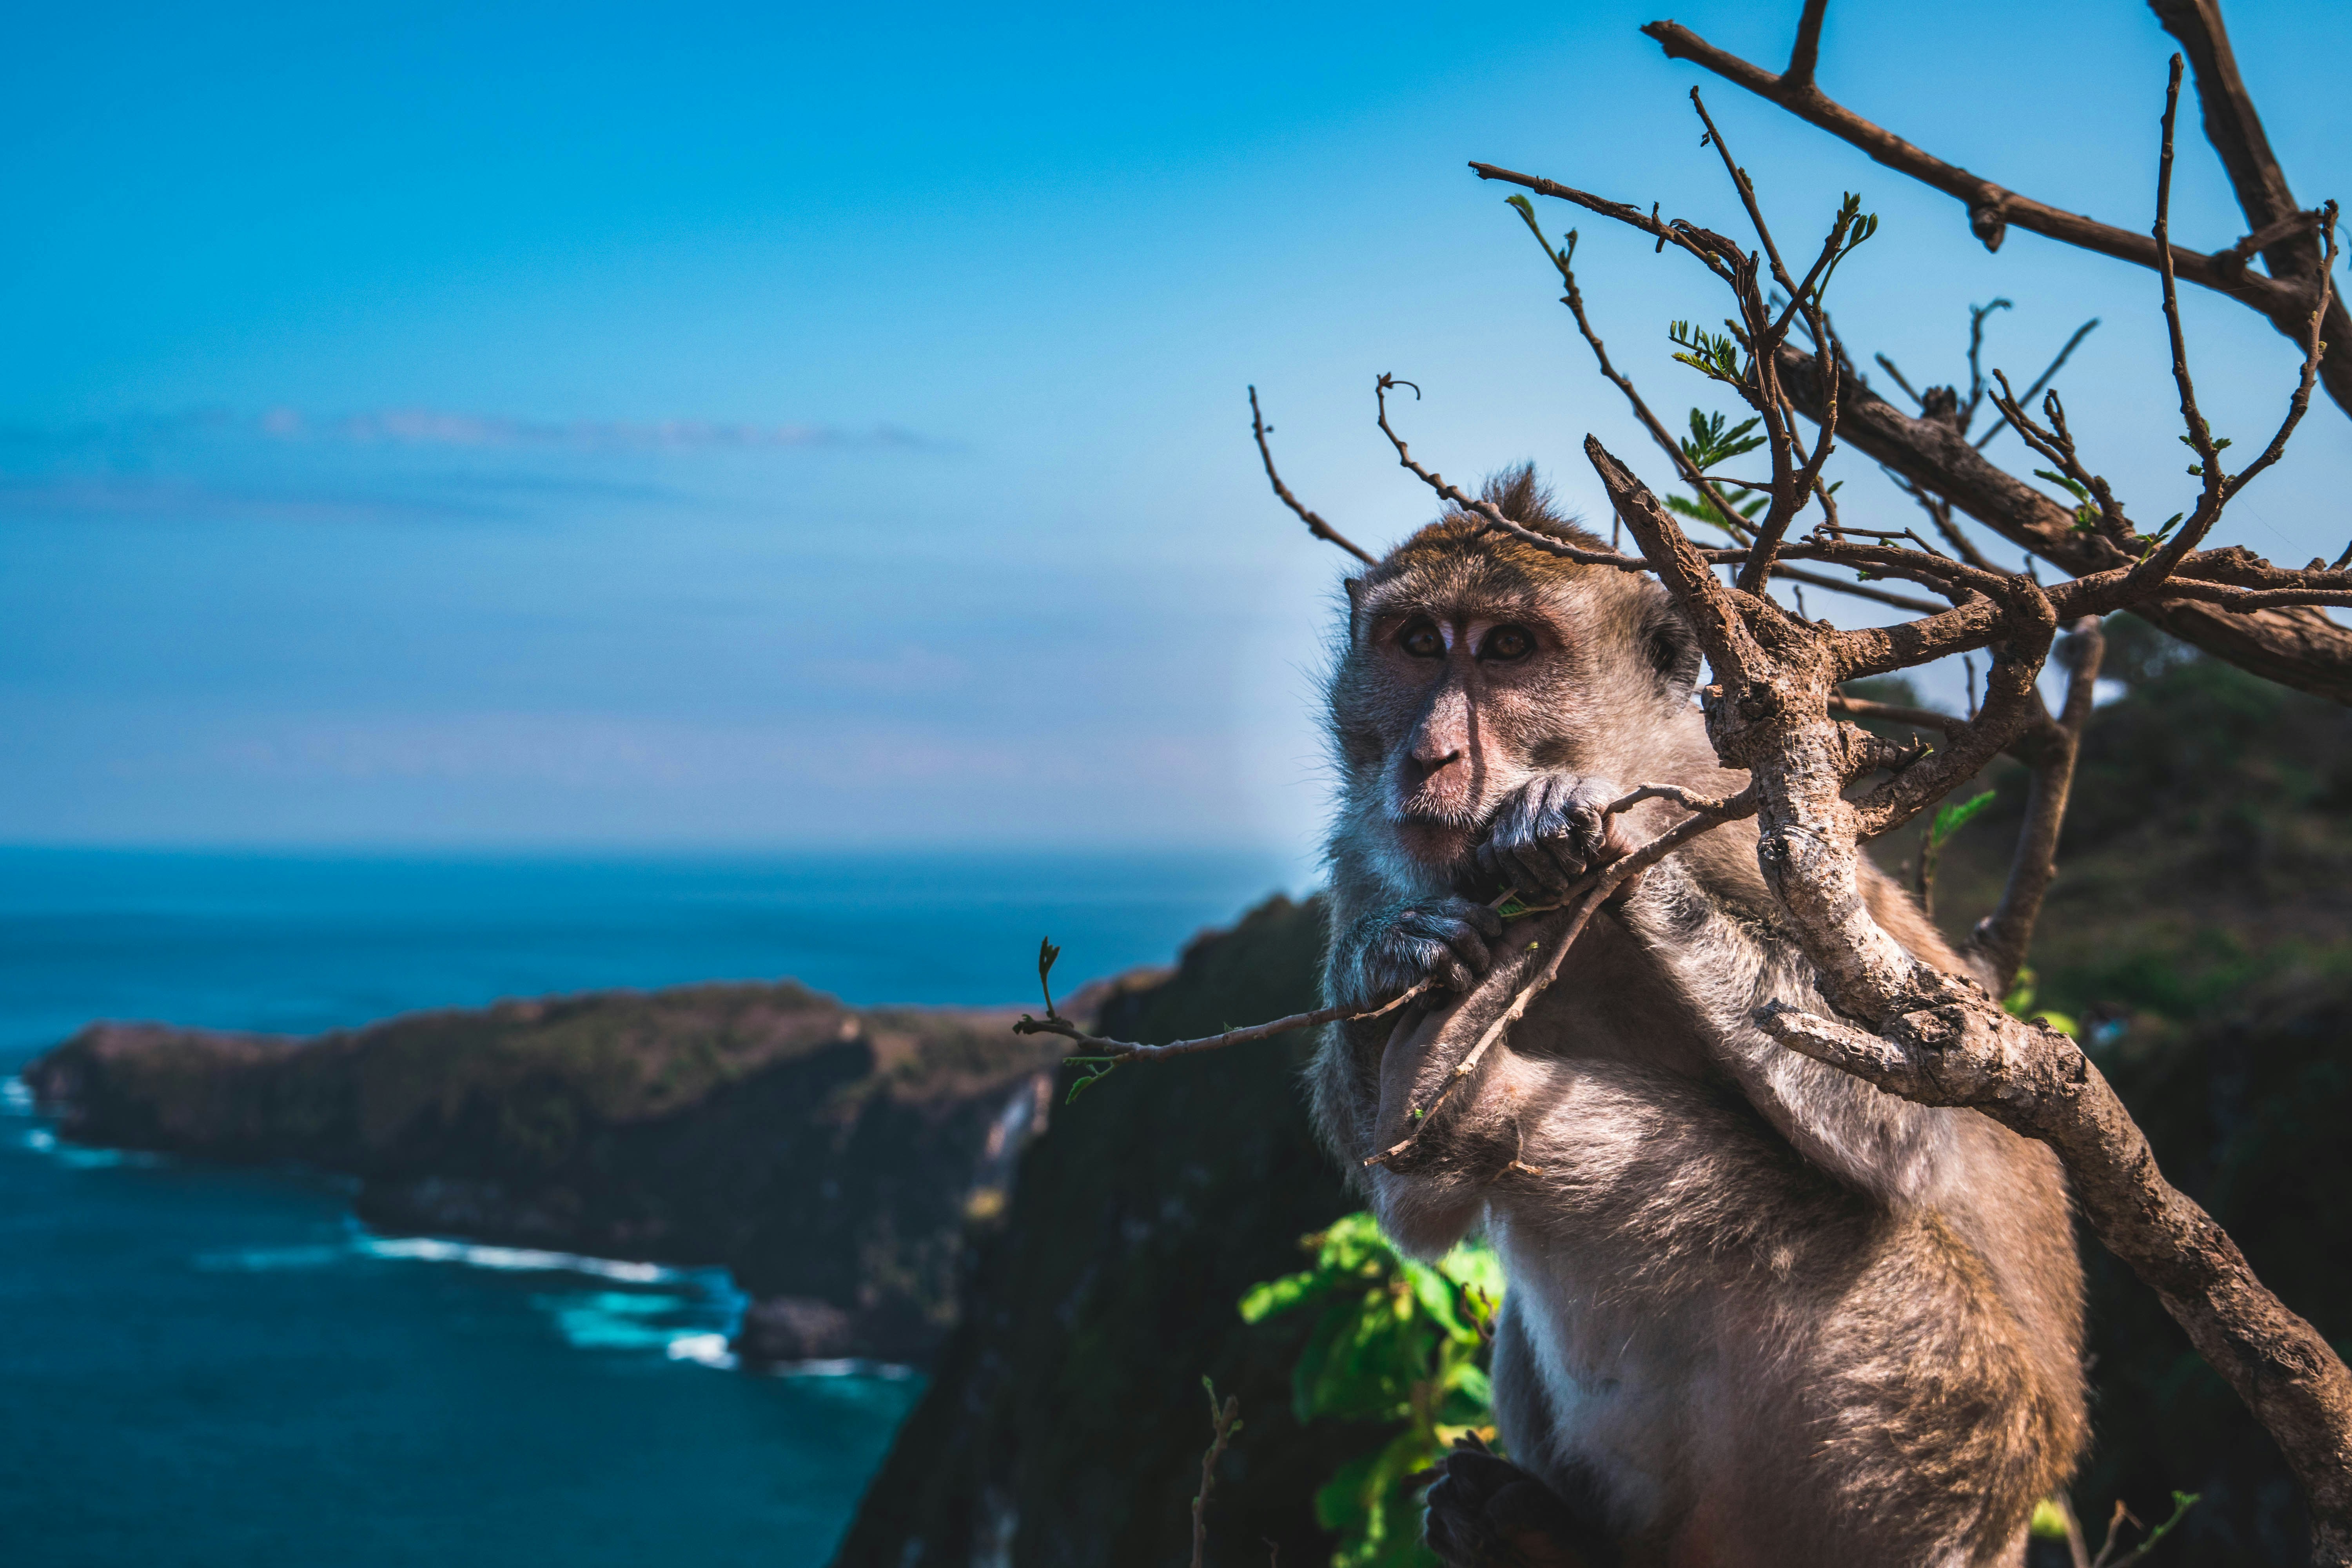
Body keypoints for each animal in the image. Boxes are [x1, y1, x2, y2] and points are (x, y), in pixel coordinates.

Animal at [1308, 467, 2085, 1568]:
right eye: (1417, 640)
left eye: (1509, 648)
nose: (1430, 755)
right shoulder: (1368, 856)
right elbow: (1383, 1167)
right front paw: (1397, 954)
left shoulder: (1749, 827)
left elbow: (1911, 1120)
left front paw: (1589, 823)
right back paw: (1537, 1528)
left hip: (1920, 1414)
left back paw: (1458, 1093)